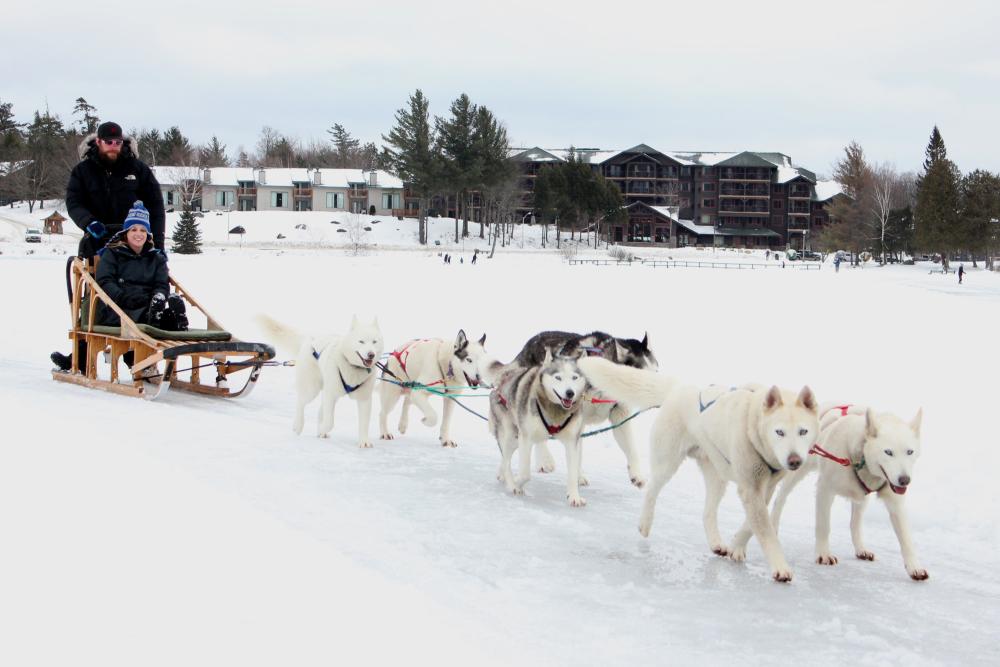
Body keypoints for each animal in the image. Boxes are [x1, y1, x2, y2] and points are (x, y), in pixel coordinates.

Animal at [258, 314, 382, 448]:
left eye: (374, 342)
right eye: (361, 341)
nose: (371, 354)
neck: (353, 367)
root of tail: (310, 338)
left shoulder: (364, 398)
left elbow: (364, 423)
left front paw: (364, 441)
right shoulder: (330, 395)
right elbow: (329, 422)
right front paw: (323, 429)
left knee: (319, 411)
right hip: (312, 389)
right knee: (301, 402)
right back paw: (298, 425)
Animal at [580, 358, 820, 580]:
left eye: (803, 431)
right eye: (779, 432)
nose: (794, 460)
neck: (752, 427)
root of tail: (680, 387)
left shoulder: (764, 489)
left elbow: (751, 525)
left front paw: (737, 546)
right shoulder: (750, 489)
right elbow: (766, 532)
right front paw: (780, 566)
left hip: (717, 476)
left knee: (707, 513)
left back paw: (716, 542)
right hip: (668, 463)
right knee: (652, 490)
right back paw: (645, 523)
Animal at [768, 404, 924, 580]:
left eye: (910, 452)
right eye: (888, 452)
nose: (905, 480)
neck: (859, 458)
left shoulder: (894, 501)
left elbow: (906, 538)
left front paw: (915, 567)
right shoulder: (825, 489)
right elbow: (823, 526)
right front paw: (823, 554)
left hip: (861, 498)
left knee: (855, 523)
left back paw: (861, 548)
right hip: (797, 471)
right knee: (780, 497)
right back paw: (773, 523)